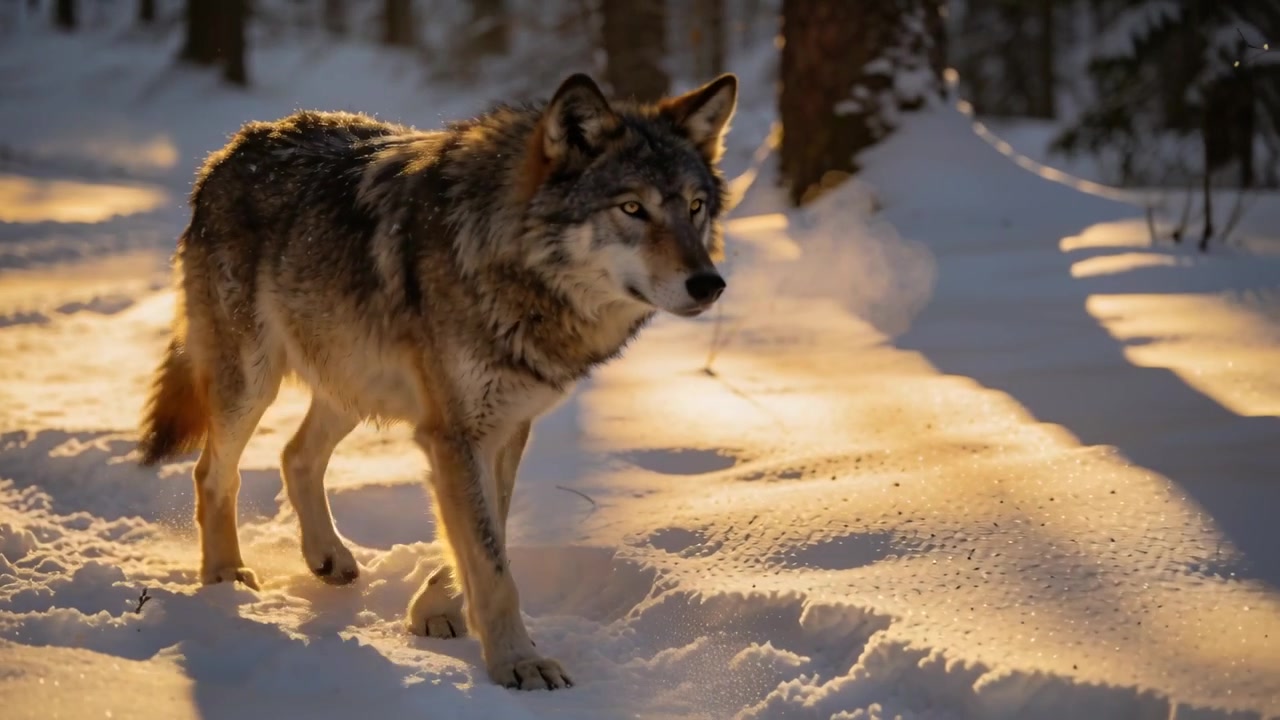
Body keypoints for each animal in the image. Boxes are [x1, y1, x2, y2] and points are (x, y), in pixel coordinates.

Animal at [134, 71, 737, 690]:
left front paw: (436, 609)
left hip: (351, 381)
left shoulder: (501, 427)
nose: (709, 283)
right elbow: (491, 560)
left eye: (695, 208)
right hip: (253, 383)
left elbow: (492, 528)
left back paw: (327, 556)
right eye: (633, 208)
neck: (509, 263)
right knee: (213, 471)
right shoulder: (456, 432)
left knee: (295, 455)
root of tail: (232, 149)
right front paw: (518, 662)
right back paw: (225, 577)